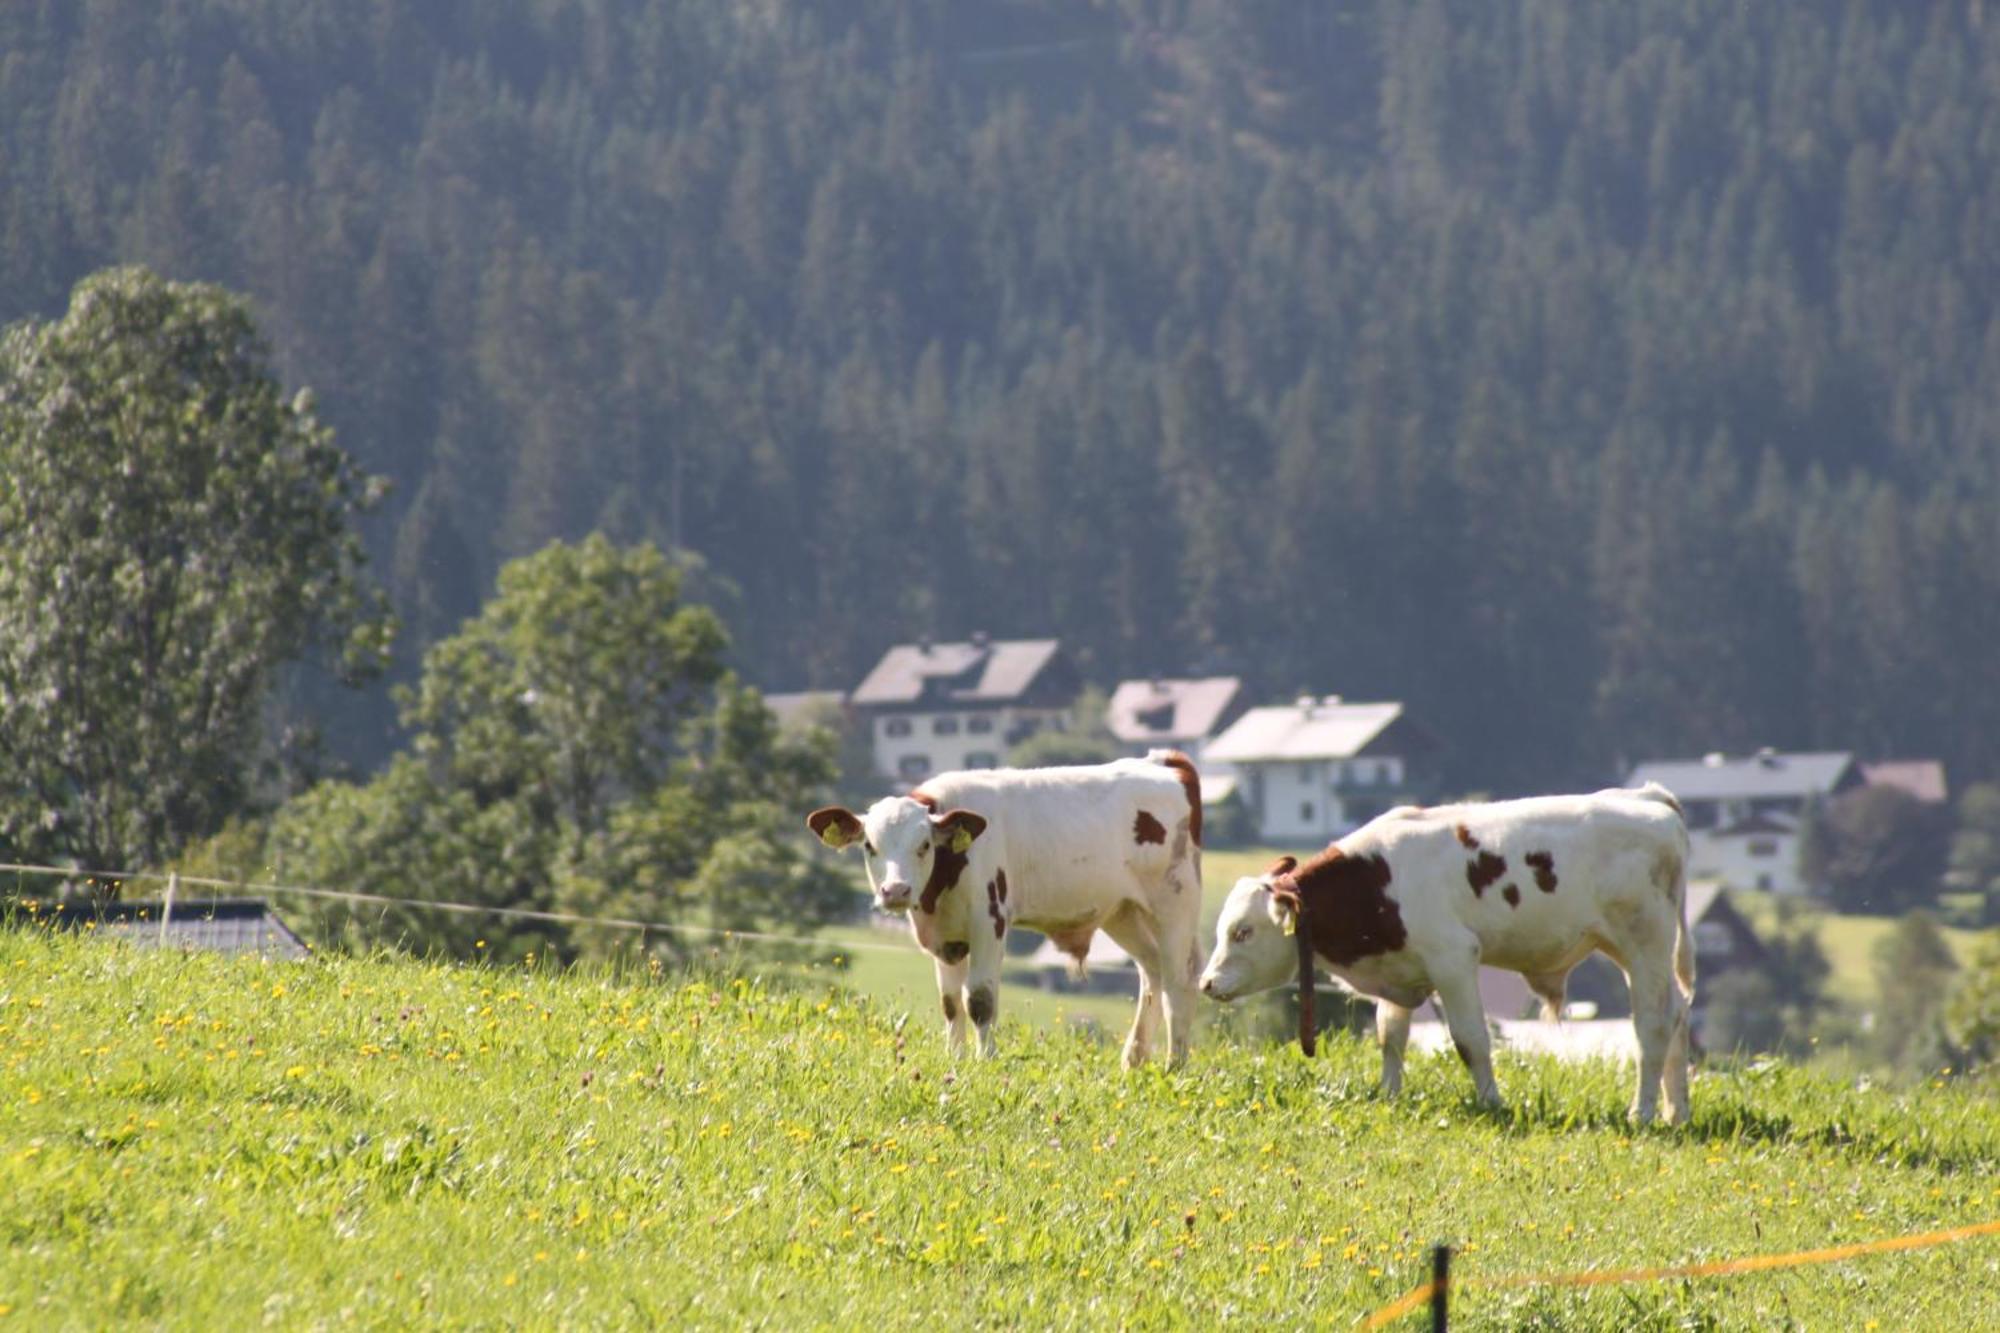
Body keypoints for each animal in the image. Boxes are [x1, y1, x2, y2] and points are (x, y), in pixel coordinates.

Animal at [808, 752, 1200, 1064]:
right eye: (869, 846)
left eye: (924, 845)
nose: (896, 890)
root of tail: (1161, 762)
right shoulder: (944, 936)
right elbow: (950, 1002)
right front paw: (955, 1059)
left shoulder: (989, 920)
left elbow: (979, 999)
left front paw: (986, 1060)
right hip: (1123, 912)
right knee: (1152, 971)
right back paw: (1134, 1060)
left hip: (1174, 904)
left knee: (1179, 983)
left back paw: (1174, 1067)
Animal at [1192, 780, 1696, 1120]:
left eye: (1243, 932)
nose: (1207, 982)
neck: (1378, 881)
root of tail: (1648, 798)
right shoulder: (1398, 967)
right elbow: (1390, 1037)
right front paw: (1390, 1094)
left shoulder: (1453, 959)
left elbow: (1471, 1040)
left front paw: (1492, 1102)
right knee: (1676, 1014)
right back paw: (1676, 1111)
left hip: (1645, 944)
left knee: (1651, 1024)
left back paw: (1642, 1113)